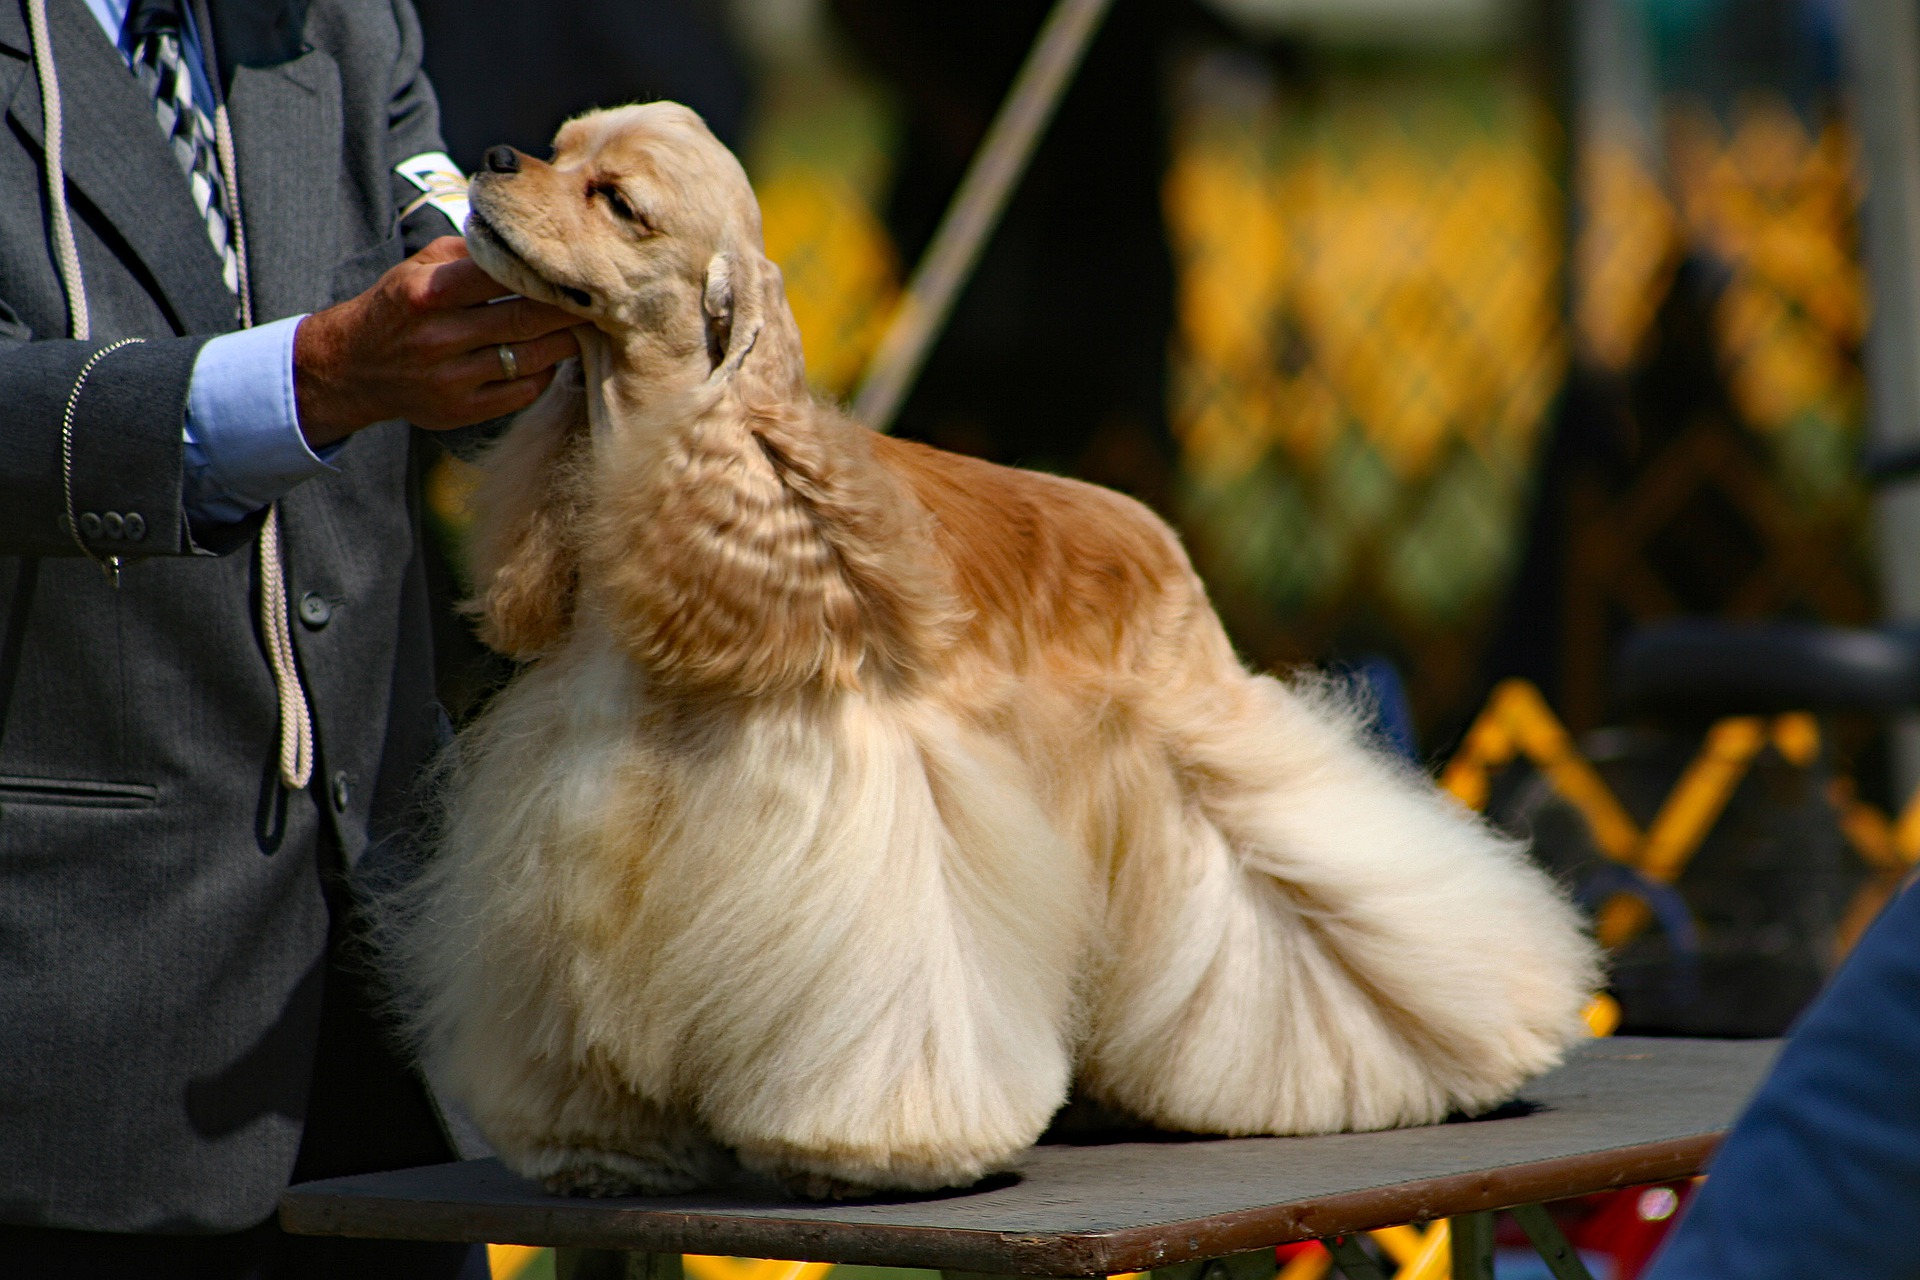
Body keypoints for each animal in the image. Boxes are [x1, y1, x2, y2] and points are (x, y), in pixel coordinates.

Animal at [405, 100, 1605, 1205]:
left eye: (618, 200)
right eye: (562, 145)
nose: (497, 157)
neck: (679, 480)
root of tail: (1160, 529)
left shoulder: (868, 807)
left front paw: (869, 1151)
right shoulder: (582, 821)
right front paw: (602, 1145)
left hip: (1208, 770)